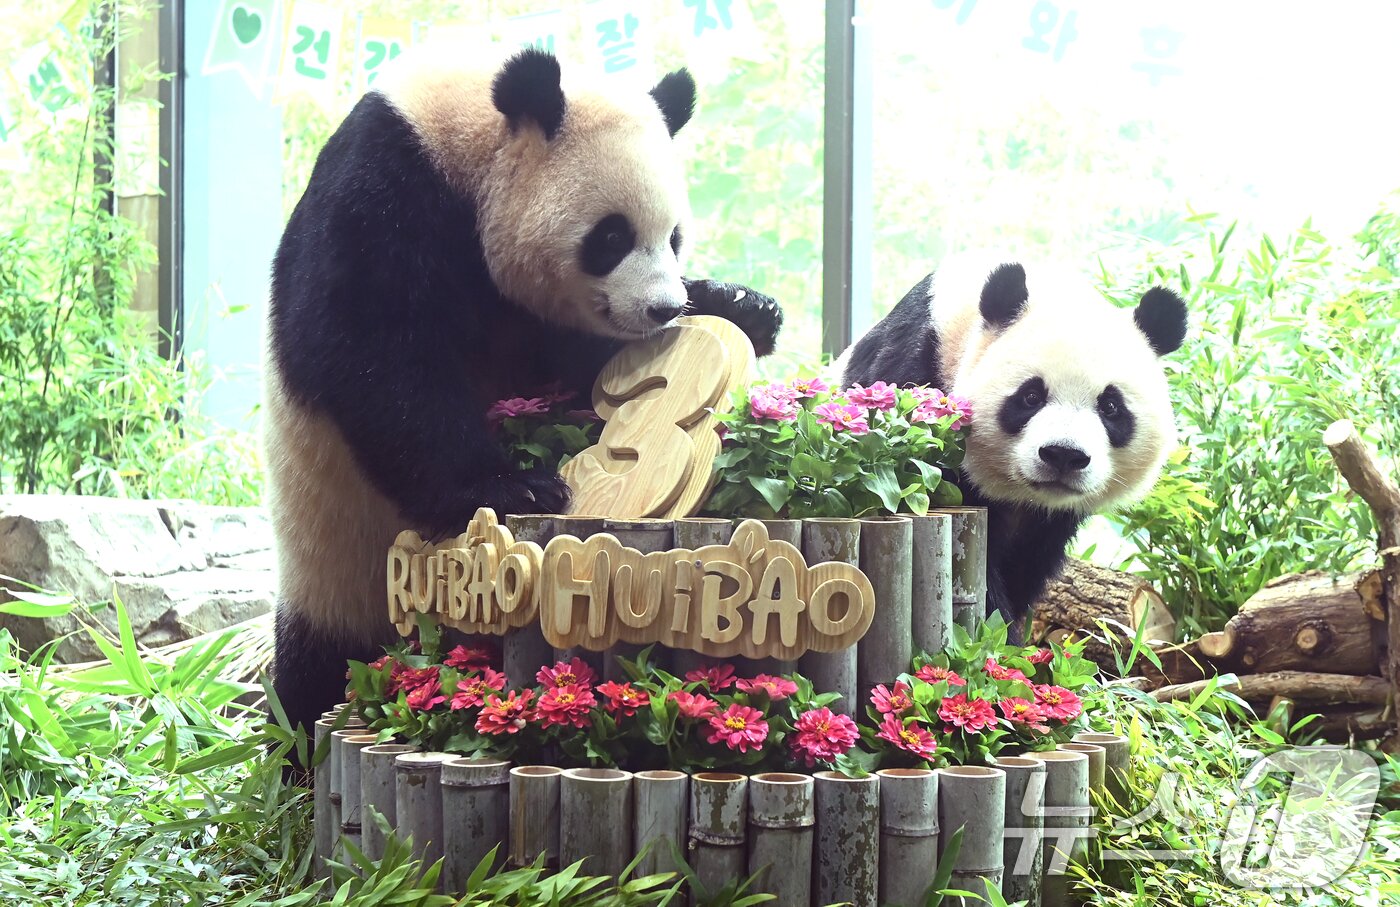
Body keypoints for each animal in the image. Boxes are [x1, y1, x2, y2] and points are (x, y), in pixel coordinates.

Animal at [264, 46, 784, 750]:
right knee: (315, 671)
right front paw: (516, 488)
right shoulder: (383, 189)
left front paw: (745, 306)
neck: (472, 146)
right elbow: (373, 350)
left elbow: (576, 369)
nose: (662, 308)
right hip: (333, 554)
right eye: (611, 238)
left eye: (674, 237)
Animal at [836, 254, 1187, 632]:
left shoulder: (1051, 523)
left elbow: (1026, 566)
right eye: (1031, 396)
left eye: (1110, 406)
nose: (1063, 455)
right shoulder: (913, 374)